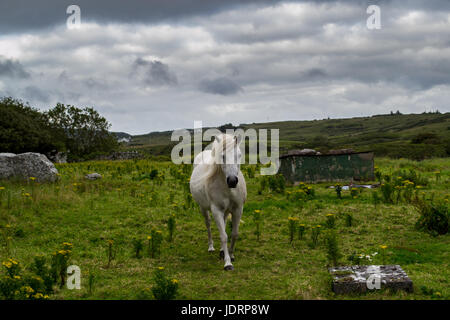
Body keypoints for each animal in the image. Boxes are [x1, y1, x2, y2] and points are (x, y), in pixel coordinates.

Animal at [189, 132, 248, 270]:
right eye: (223, 156)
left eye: (239, 155)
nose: (232, 181)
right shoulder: (216, 210)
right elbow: (224, 236)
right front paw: (228, 263)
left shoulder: (238, 209)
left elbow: (234, 233)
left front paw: (231, 255)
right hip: (203, 208)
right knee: (208, 224)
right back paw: (211, 247)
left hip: (225, 211)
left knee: (225, 223)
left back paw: (221, 250)